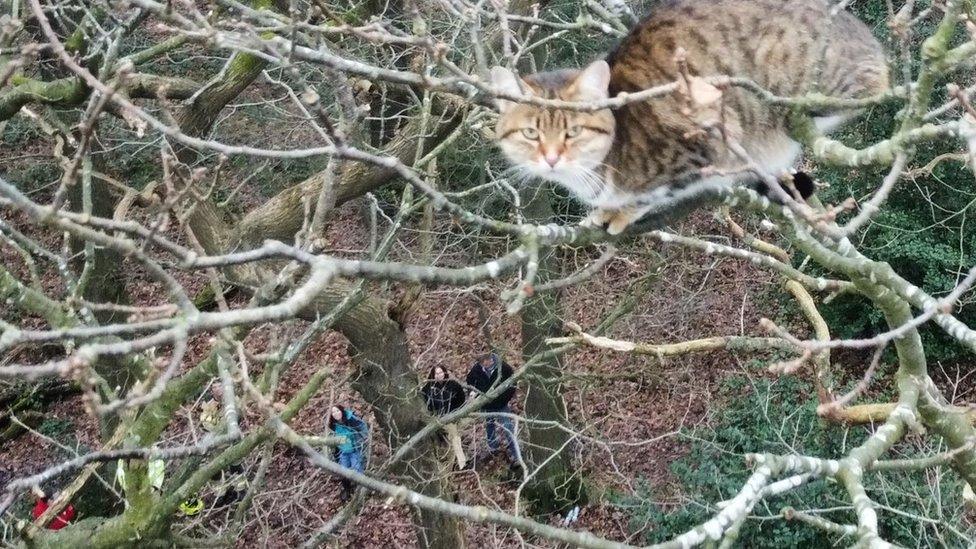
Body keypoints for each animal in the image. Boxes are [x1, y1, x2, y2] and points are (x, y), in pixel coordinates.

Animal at [492, 0, 888, 233]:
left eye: (573, 132)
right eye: (530, 133)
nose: (551, 158)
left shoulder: (702, 146)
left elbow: (652, 193)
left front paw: (620, 211)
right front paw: (605, 210)